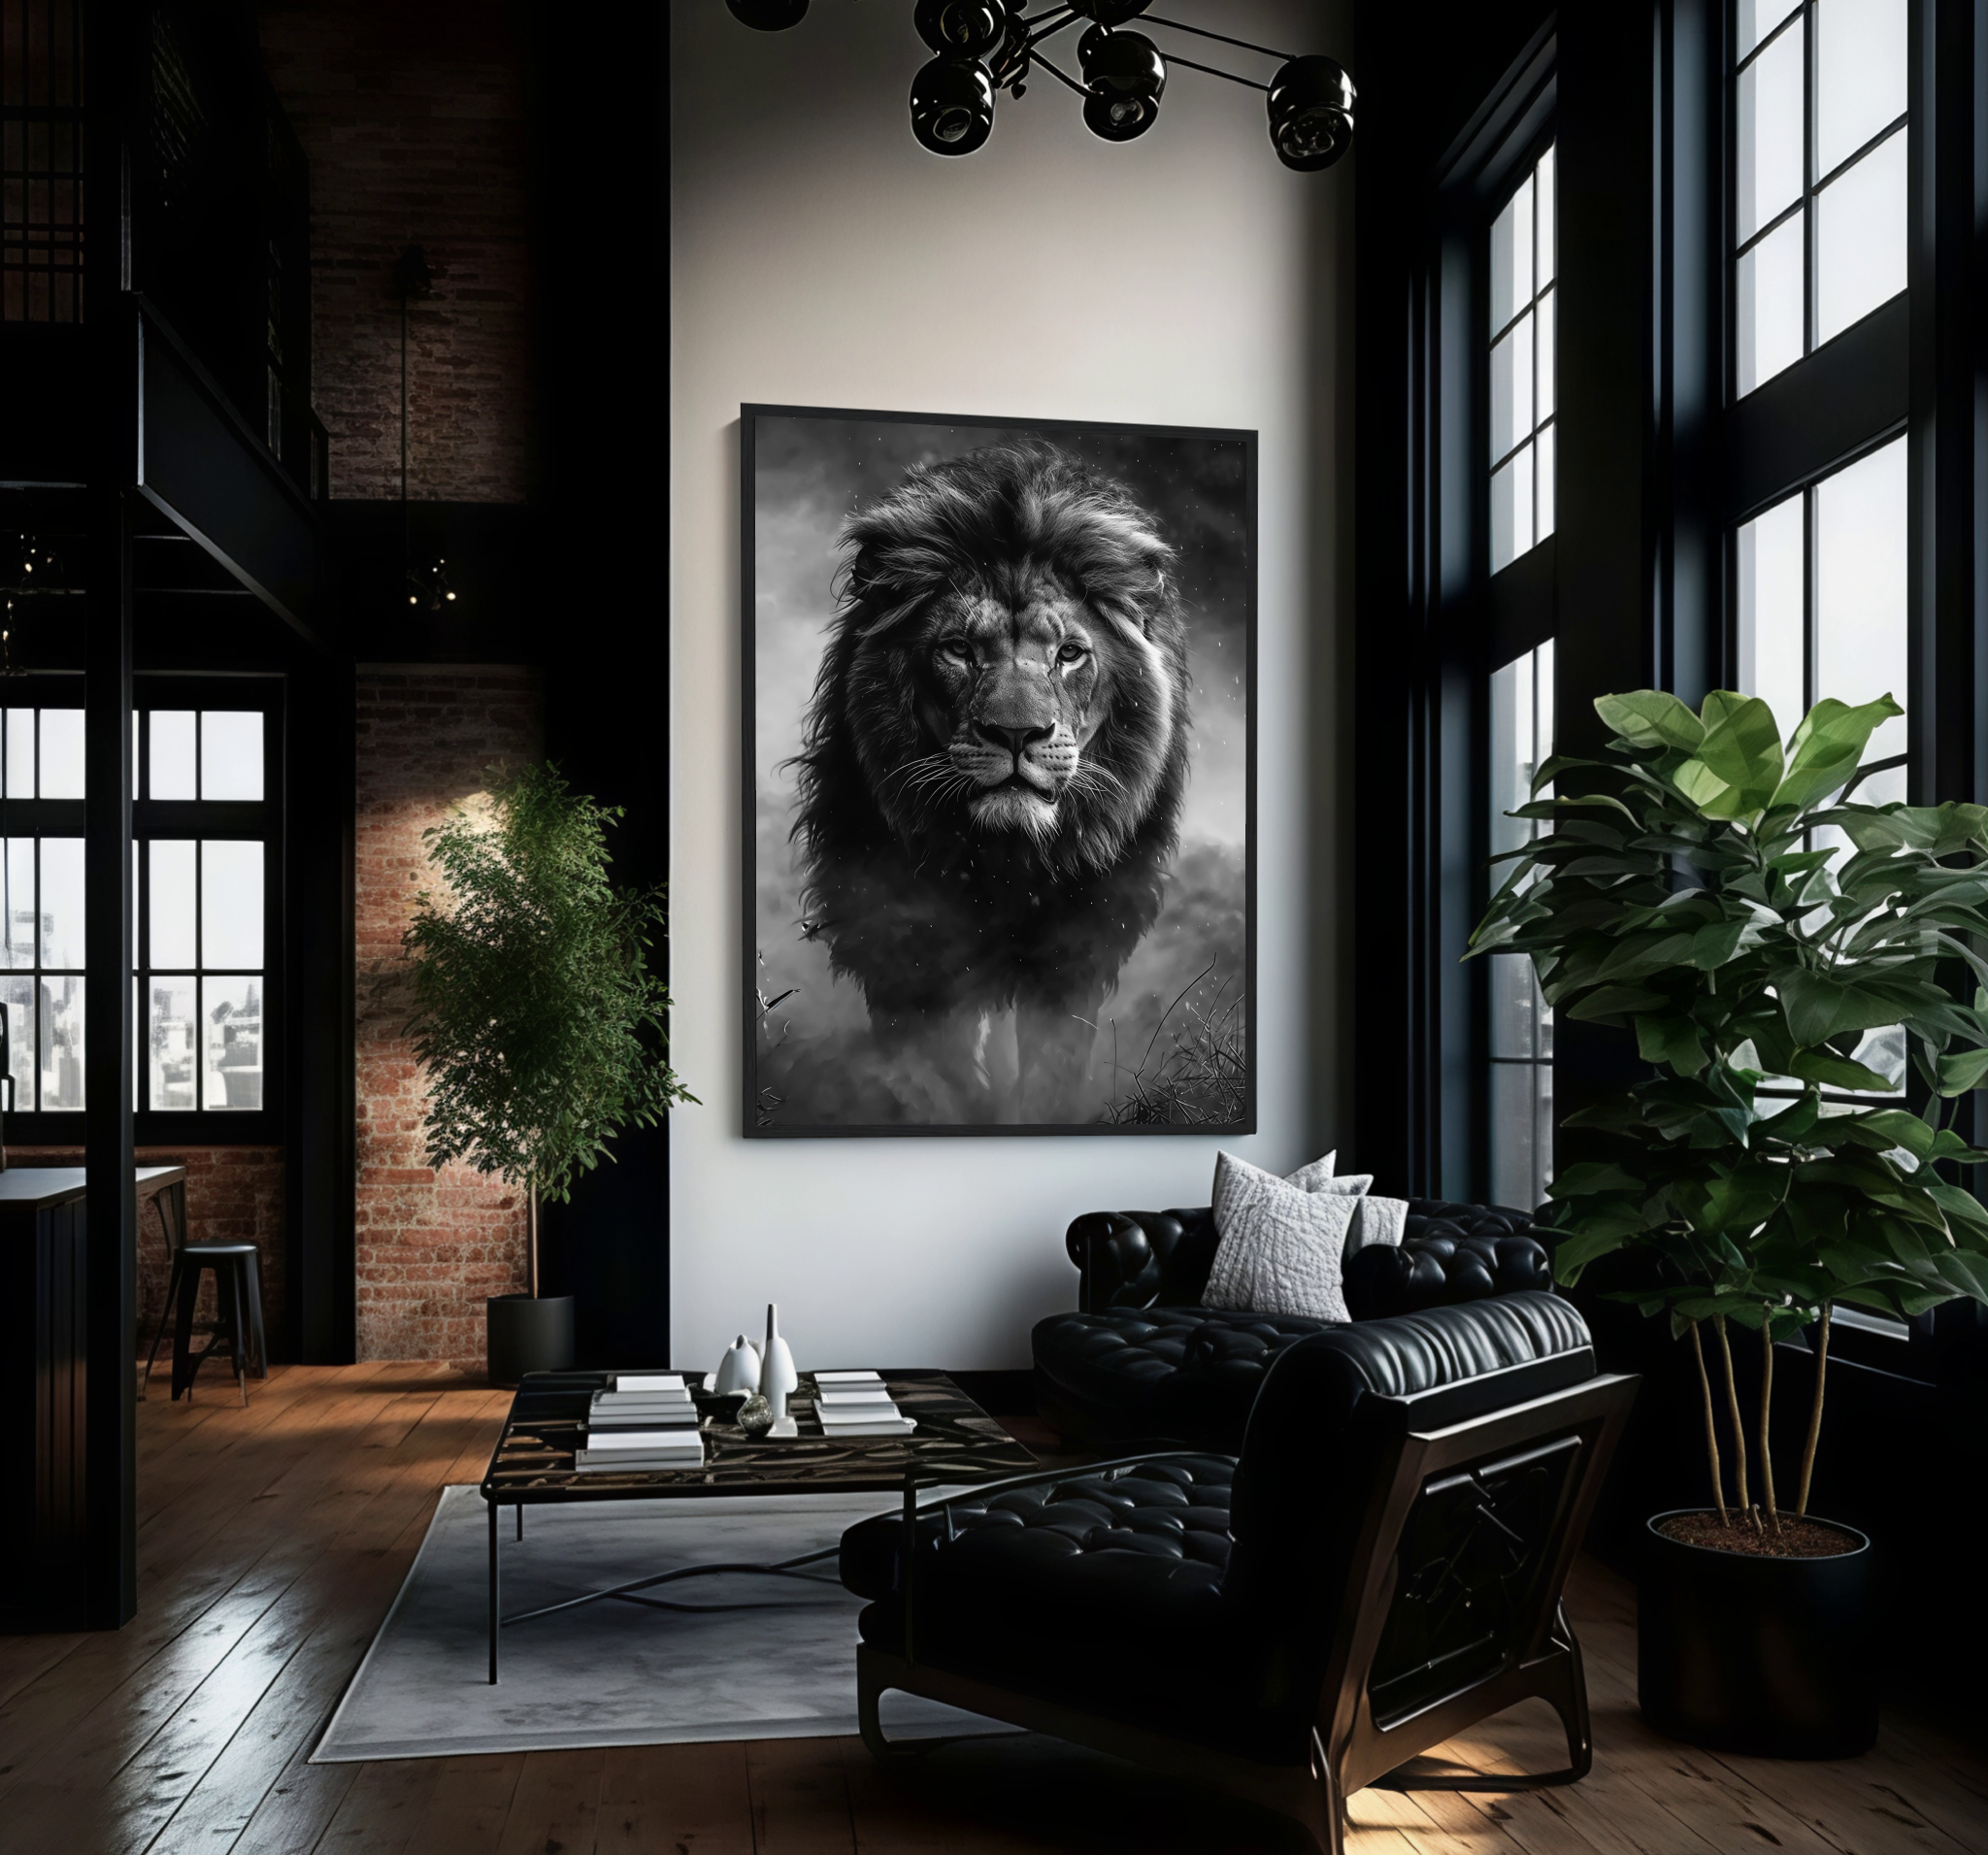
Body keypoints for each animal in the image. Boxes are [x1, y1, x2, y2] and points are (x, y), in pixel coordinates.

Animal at [790, 442, 1193, 1123]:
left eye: (1069, 654)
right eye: (957, 650)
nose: (1016, 733)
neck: (1006, 861)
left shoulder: (1076, 947)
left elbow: (1053, 1066)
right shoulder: (904, 943)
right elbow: (935, 1068)